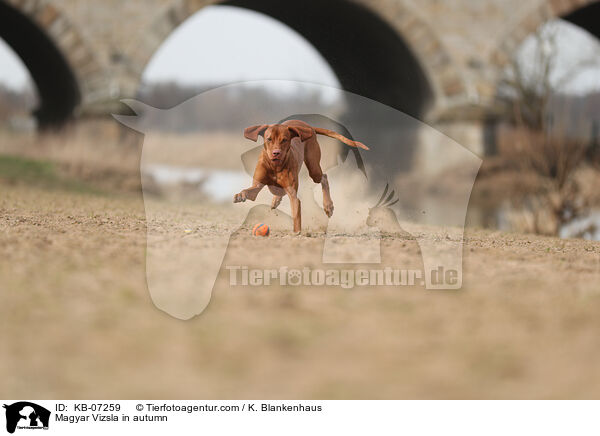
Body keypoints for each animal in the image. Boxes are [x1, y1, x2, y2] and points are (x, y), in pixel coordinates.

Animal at [232, 119, 368, 233]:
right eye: (269, 139)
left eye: (284, 140)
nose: (276, 153)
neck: (275, 166)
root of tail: (307, 126)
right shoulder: (257, 185)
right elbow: (248, 191)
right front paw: (240, 196)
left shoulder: (293, 195)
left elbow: (296, 215)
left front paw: (297, 234)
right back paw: (276, 200)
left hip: (314, 168)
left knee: (324, 177)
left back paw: (328, 206)